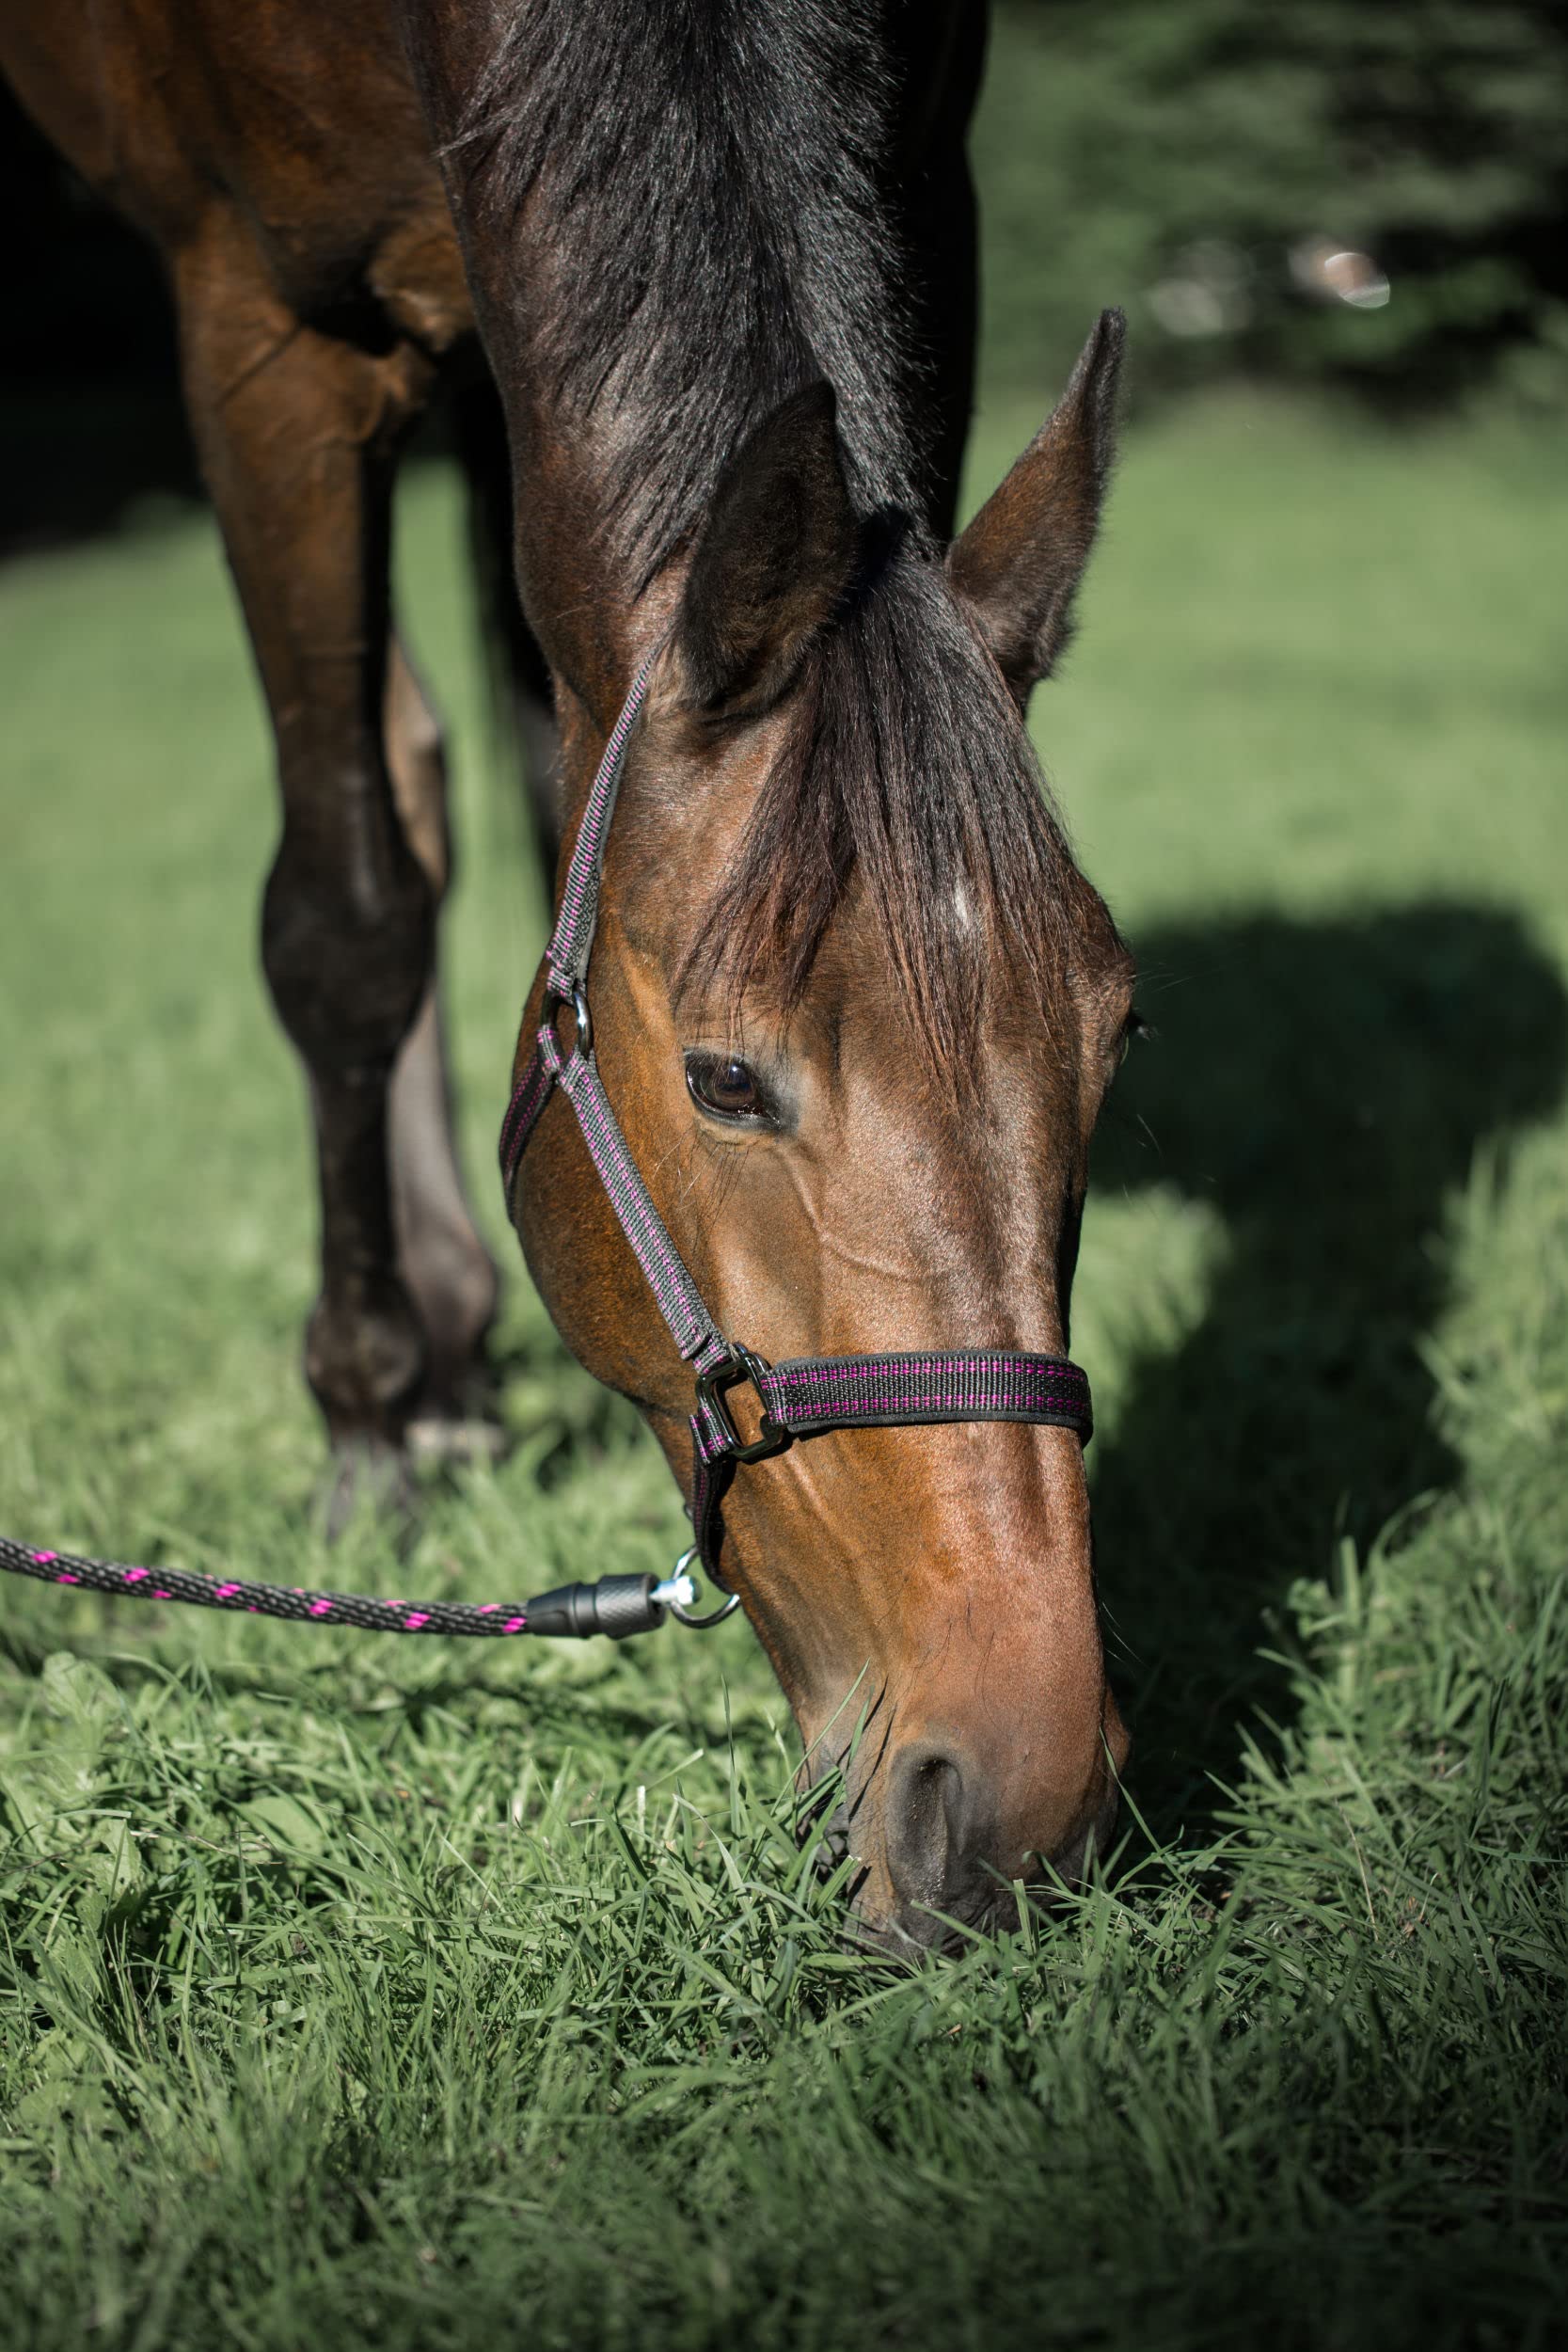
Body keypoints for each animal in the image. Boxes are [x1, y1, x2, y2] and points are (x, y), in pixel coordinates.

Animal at [3, 0, 1137, 1947]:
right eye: (728, 1081)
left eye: (1114, 1037)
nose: (1020, 1793)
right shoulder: (260, 319)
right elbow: (347, 918)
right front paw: (366, 1421)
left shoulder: (928, 176)